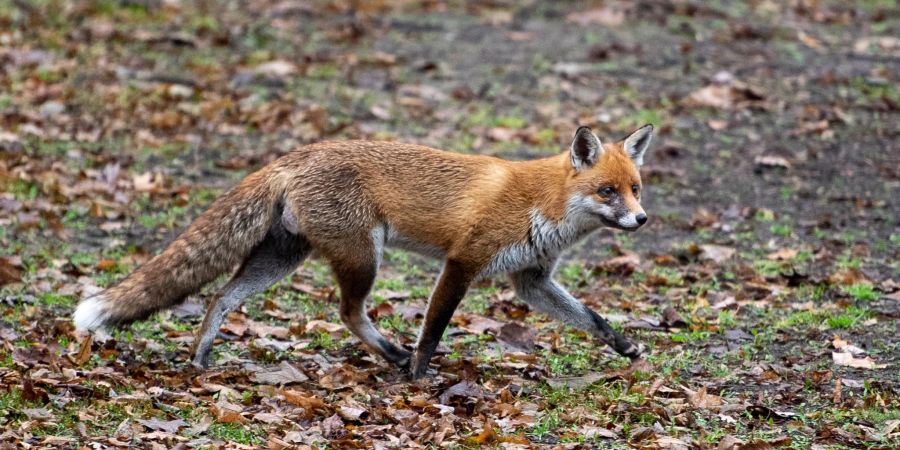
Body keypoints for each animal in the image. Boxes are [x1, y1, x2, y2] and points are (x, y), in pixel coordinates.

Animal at [74, 124, 652, 380]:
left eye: (636, 189)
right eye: (607, 192)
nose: (641, 220)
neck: (543, 204)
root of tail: (297, 154)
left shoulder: (531, 279)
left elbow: (592, 318)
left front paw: (624, 346)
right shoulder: (463, 261)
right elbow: (433, 328)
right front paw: (419, 375)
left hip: (284, 257)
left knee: (221, 297)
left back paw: (200, 357)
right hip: (362, 257)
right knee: (348, 312)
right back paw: (393, 356)